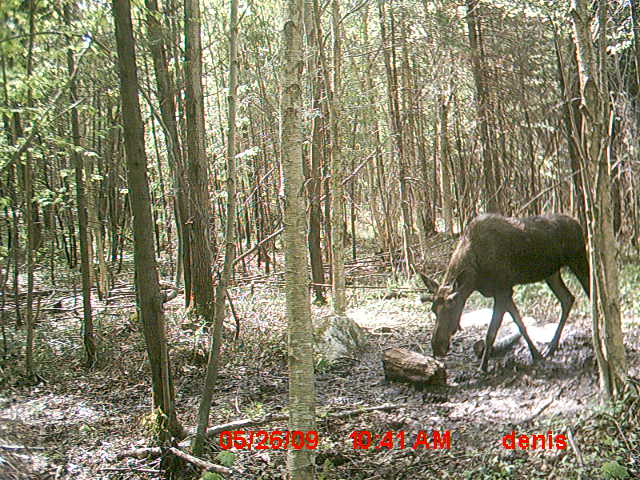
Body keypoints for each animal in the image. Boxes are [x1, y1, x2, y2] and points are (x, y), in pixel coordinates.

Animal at [420, 213, 592, 372]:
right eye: (433, 309)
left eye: (452, 304)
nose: (437, 347)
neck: (475, 277)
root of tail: (578, 223)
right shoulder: (505, 292)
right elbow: (520, 324)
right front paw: (536, 355)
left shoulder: (503, 291)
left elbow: (491, 333)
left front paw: (483, 367)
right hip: (552, 273)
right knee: (567, 298)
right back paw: (551, 347)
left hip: (579, 260)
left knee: (590, 293)